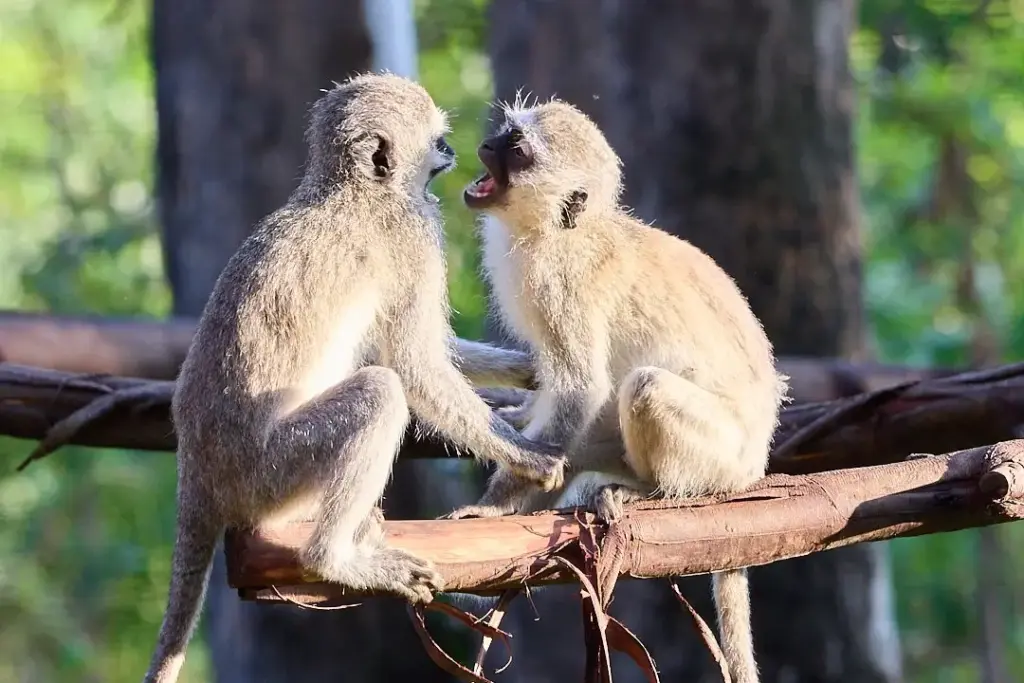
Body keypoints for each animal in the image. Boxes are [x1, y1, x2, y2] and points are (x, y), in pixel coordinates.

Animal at [142, 74, 566, 683]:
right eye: (435, 140)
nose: (451, 150)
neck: (347, 190)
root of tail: (196, 471)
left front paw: (528, 371)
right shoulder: (413, 235)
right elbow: (415, 363)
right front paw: (526, 456)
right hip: (268, 475)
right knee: (379, 393)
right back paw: (334, 559)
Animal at [446, 99, 789, 683]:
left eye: (518, 150)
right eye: (506, 132)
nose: (487, 144)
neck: (559, 233)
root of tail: (754, 464)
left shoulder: (561, 286)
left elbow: (582, 388)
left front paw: (492, 509)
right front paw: (515, 417)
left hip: (719, 455)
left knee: (644, 387)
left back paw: (648, 491)